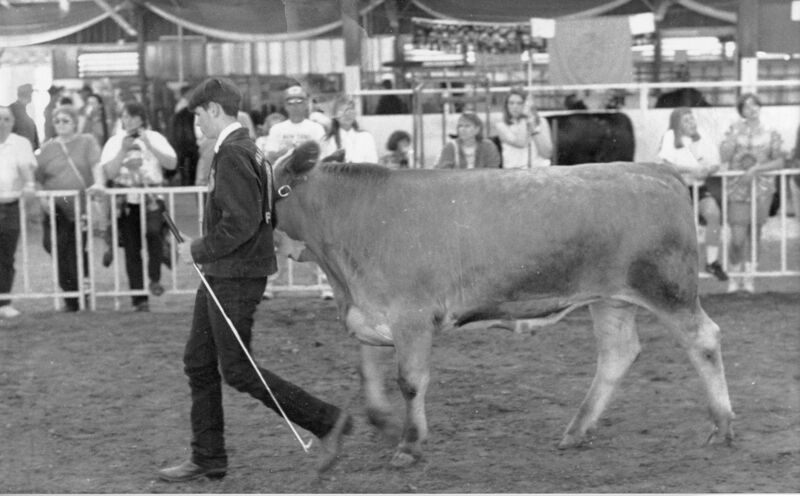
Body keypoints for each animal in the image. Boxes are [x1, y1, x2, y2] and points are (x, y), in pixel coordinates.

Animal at [271, 141, 735, 467]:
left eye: (273, 182)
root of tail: (652, 169)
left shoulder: (411, 317)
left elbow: (411, 381)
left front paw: (409, 444)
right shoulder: (372, 314)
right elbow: (367, 371)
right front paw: (384, 422)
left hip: (668, 289)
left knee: (704, 340)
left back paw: (723, 425)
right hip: (610, 300)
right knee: (618, 353)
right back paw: (577, 430)